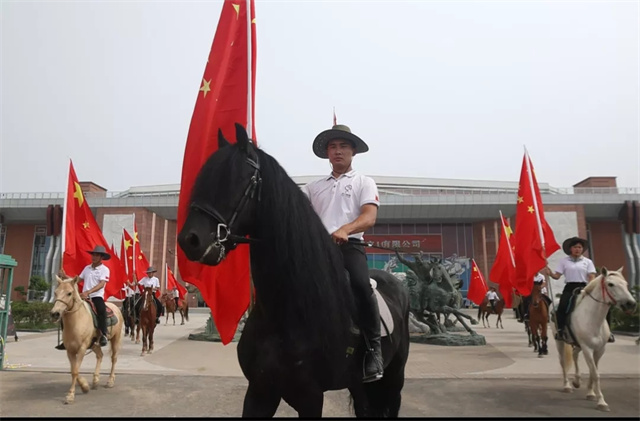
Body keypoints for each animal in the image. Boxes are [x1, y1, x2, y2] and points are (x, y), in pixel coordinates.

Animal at [49, 275, 123, 404]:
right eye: (55, 292)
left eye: (69, 293)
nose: (55, 314)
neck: (76, 321)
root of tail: (115, 307)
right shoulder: (70, 350)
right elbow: (73, 369)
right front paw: (84, 386)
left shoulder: (82, 348)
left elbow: (75, 370)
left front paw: (70, 395)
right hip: (94, 344)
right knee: (100, 355)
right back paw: (95, 381)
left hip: (116, 338)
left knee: (114, 358)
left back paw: (110, 381)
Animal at [178, 123, 410, 418]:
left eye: (237, 179)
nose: (189, 240)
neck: (288, 312)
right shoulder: (259, 391)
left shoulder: (310, 397)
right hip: (359, 385)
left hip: (394, 377)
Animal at [552, 267, 636, 411]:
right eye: (610, 284)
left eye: (625, 284)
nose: (631, 304)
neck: (593, 319)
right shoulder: (587, 349)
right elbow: (596, 374)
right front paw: (601, 402)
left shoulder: (599, 349)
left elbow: (593, 372)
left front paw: (591, 393)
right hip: (560, 342)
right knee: (563, 362)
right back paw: (567, 385)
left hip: (578, 344)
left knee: (574, 354)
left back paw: (577, 381)